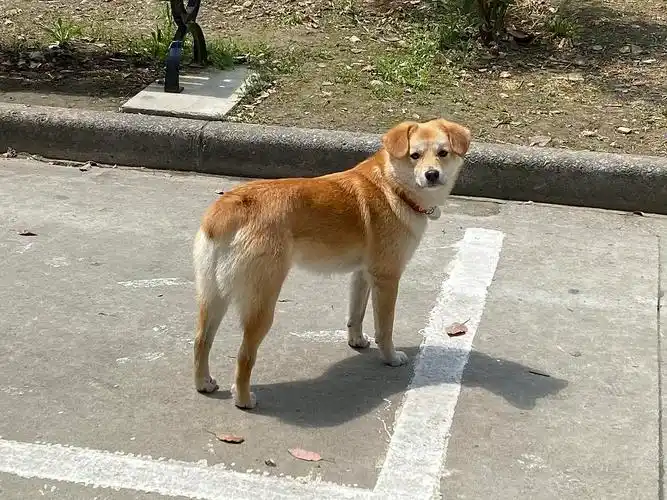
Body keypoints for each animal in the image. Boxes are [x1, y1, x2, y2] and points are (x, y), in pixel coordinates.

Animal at [190, 119, 472, 408]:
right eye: (414, 155)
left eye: (443, 153)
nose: (432, 175)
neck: (392, 186)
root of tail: (228, 206)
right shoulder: (387, 278)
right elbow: (384, 328)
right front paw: (391, 357)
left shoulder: (362, 275)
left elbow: (355, 315)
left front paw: (356, 341)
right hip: (261, 305)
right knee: (244, 355)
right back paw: (244, 399)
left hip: (213, 296)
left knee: (201, 340)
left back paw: (204, 382)